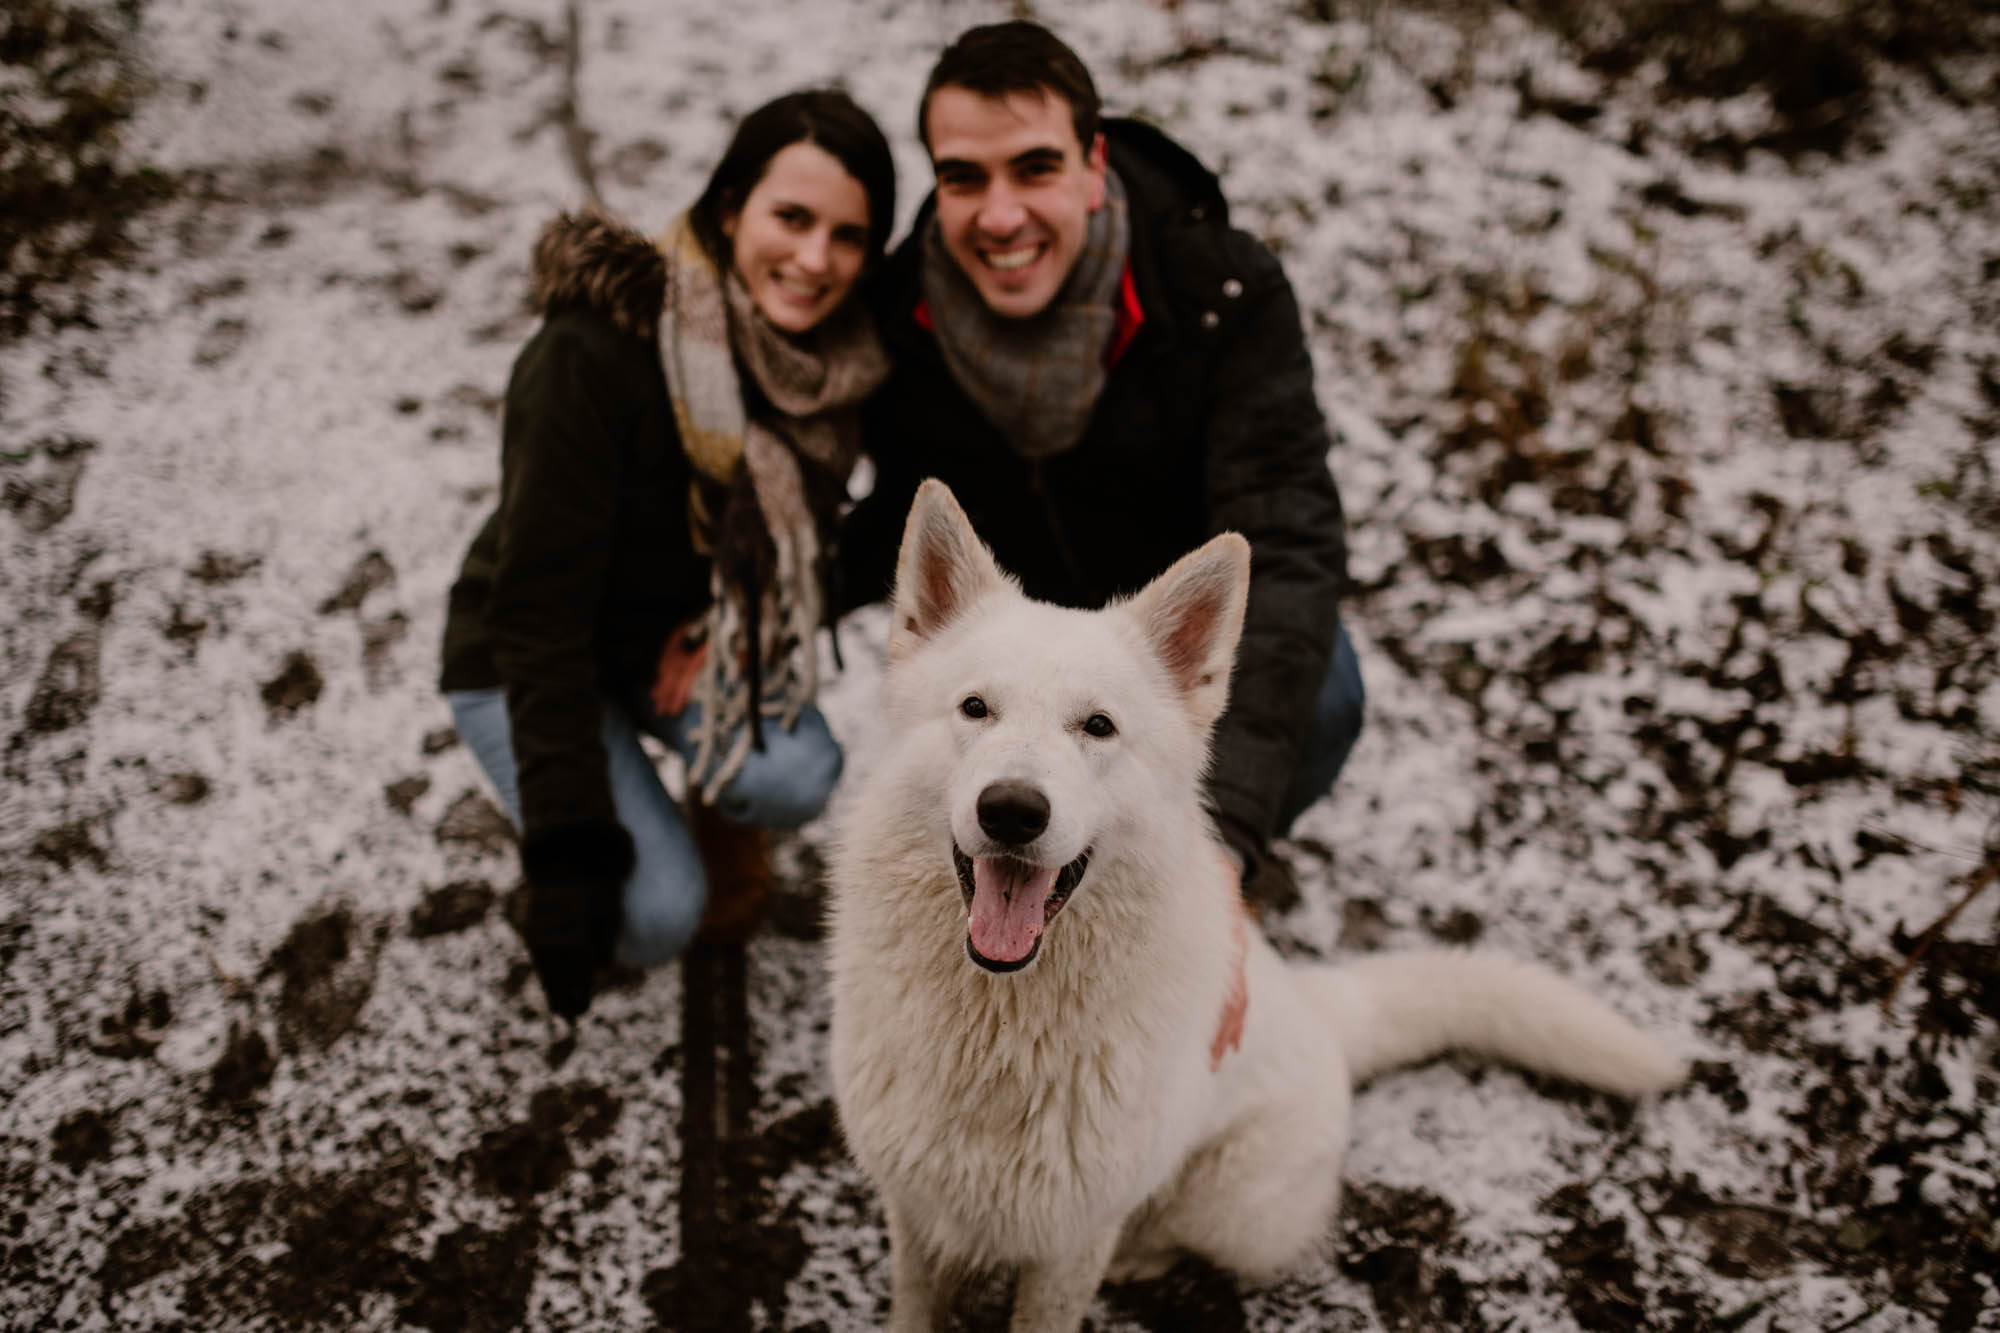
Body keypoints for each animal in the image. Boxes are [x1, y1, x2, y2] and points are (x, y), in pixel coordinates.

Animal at [828, 480, 1688, 1328]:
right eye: (975, 708)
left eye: (1098, 726)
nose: (1012, 810)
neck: (995, 1027)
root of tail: (1323, 1009)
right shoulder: (912, 1209)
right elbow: (915, 1307)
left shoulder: (1072, 1241)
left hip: (1229, 1210)